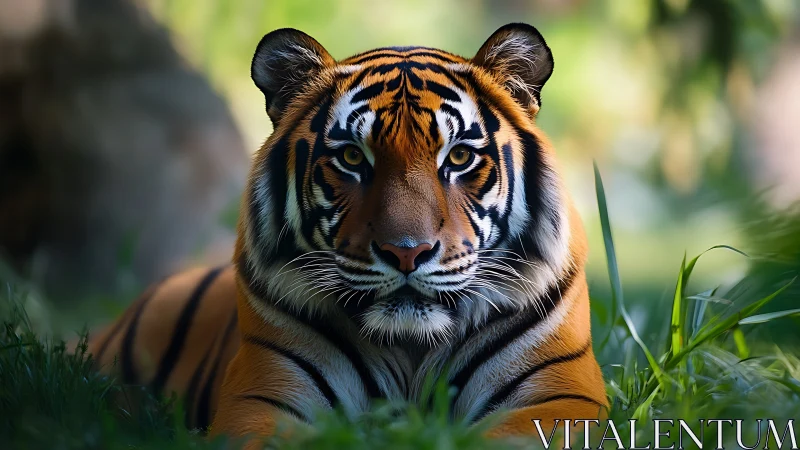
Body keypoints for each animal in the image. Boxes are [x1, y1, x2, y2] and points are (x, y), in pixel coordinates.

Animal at [86, 22, 608, 446]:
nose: (407, 252)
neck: (413, 351)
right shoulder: (262, 397)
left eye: (459, 157)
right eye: (353, 158)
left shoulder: (561, 400)